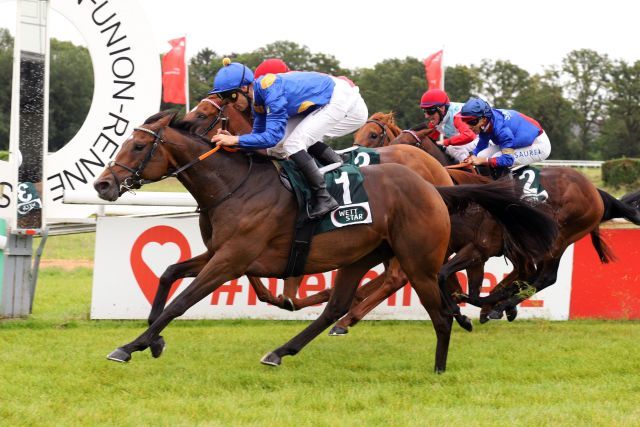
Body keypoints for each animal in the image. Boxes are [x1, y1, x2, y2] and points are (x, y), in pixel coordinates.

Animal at [92, 111, 556, 374]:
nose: (102, 184)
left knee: (437, 312)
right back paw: (283, 350)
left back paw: (441, 365)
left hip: (417, 261)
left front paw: (129, 346)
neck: (234, 185)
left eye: (137, 144)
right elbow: (169, 273)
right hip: (359, 255)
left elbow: (182, 302)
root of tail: (435, 188)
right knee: (338, 305)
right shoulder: (221, 253)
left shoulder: (232, 258)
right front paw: (152, 341)